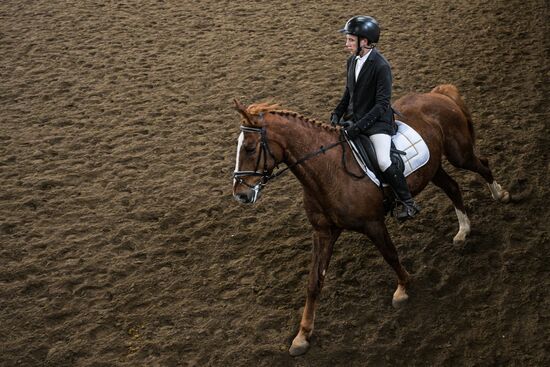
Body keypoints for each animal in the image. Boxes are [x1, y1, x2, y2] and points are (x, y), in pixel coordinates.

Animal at [231, 85, 512, 356]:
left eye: (250, 148)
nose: (241, 194)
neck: (327, 171)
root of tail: (436, 94)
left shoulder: (373, 224)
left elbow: (390, 255)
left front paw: (403, 288)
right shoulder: (323, 232)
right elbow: (313, 282)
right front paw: (302, 336)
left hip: (459, 154)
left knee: (482, 164)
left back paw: (500, 194)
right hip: (432, 169)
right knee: (453, 187)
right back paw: (463, 231)